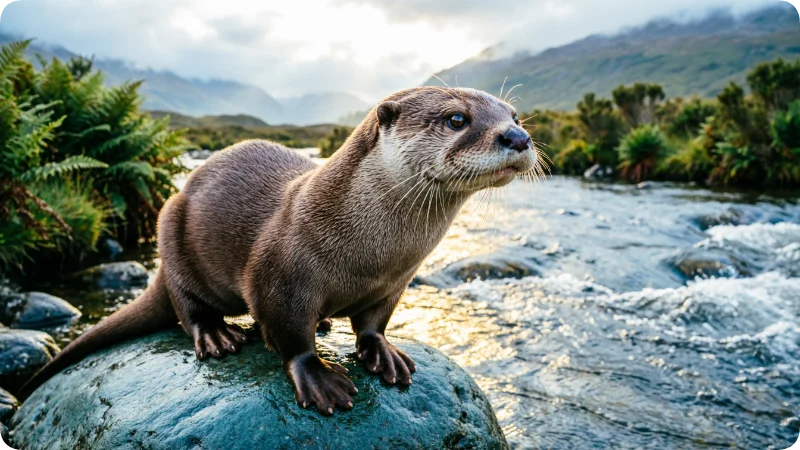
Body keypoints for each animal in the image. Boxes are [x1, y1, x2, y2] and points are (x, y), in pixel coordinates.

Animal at [21, 87, 537, 415]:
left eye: (514, 116)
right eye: (456, 119)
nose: (518, 137)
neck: (372, 255)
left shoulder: (394, 285)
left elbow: (373, 324)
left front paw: (384, 353)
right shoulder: (279, 277)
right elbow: (290, 337)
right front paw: (319, 378)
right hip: (170, 227)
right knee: (184, 304)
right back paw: (217, 335)